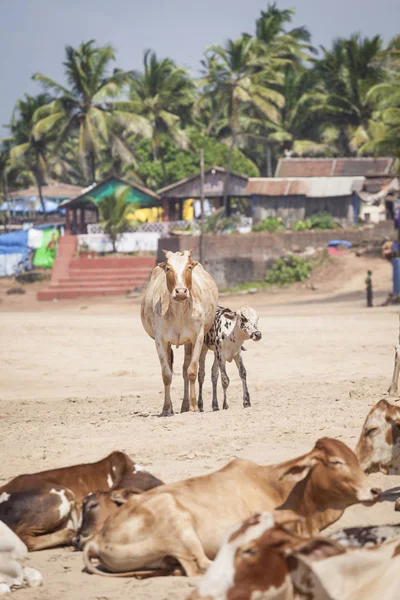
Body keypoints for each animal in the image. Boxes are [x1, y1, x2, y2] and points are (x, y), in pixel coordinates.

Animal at [139, 251, 217, 414]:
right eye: (168, 268)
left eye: (189, 267)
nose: (181, 291)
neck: (179, 311)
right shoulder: (160, 341)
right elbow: (166, 374)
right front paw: (166, 408)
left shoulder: (197, 338)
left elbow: (191, 371)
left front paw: (194, 406)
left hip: (189, 343)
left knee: (185, 369)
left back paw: (186, 405)